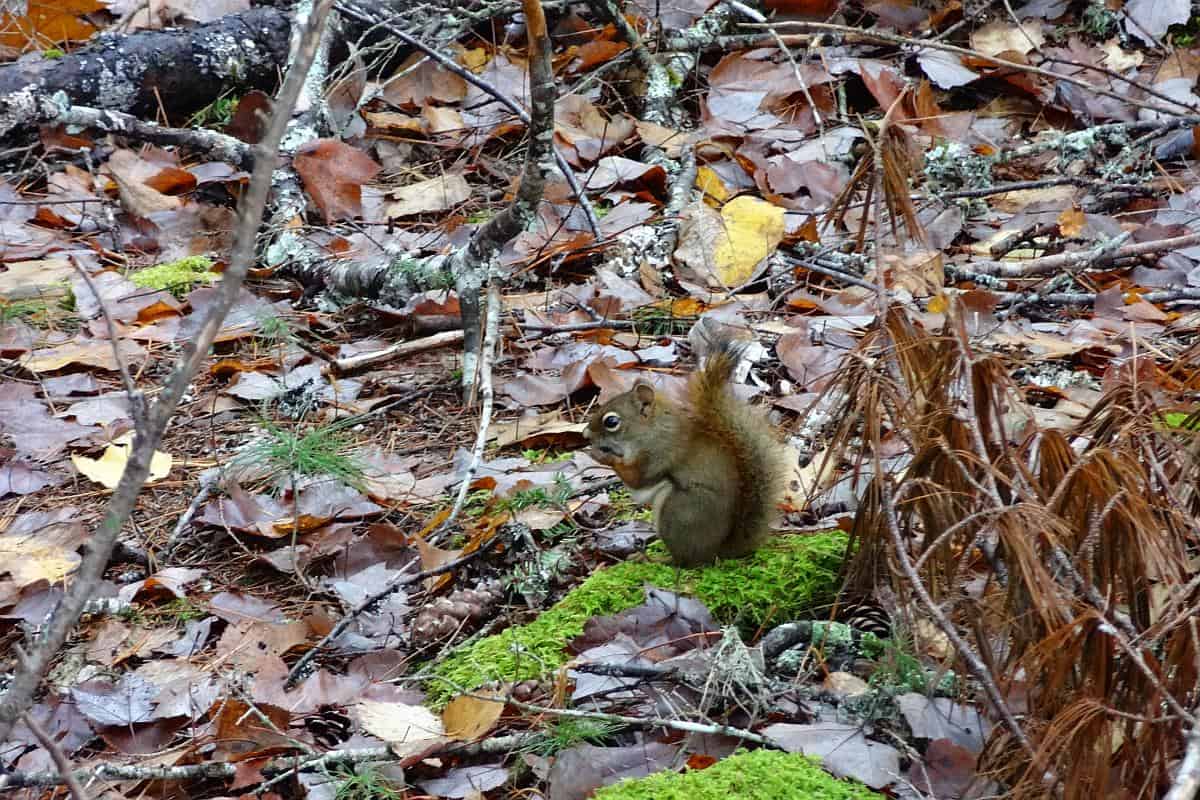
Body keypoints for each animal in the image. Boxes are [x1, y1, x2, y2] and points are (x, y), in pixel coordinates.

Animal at [583, 335, 787, 566]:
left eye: (611, 421)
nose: (585, 434)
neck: (653, 429)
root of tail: (716, 551)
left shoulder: (660, 454)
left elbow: (637, 479)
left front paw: (599, 455)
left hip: (679, 510)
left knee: (683, 560)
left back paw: (653, 559)